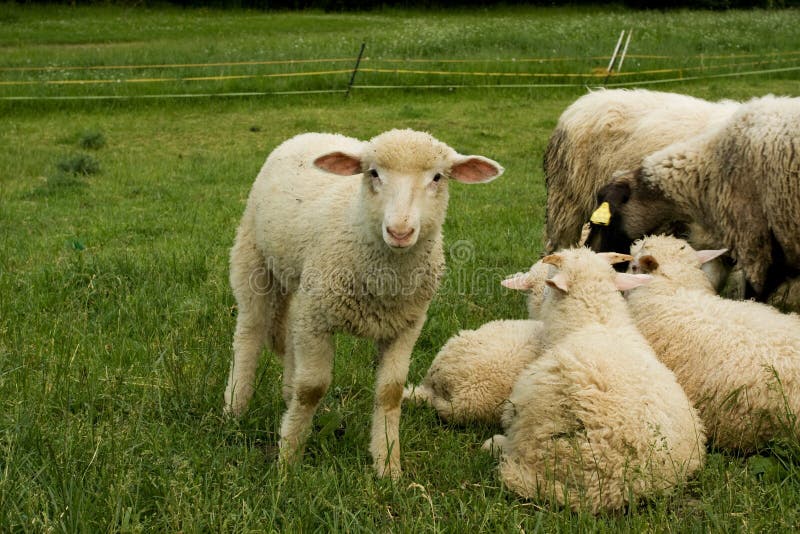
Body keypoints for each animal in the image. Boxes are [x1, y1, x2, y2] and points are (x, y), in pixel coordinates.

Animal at [222, 127, 504, 480]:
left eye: (437, 177)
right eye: (373, 173)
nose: (400, 231)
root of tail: (311, 132)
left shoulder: (406, 325)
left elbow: (390, 393)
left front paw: (388, 466)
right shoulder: (318, 318)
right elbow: (311, 388)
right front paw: (288, 460)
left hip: (302, 287)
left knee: (288, 337)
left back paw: (285, 395)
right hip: (253, 259)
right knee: (250, 332)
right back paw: (235, 407)